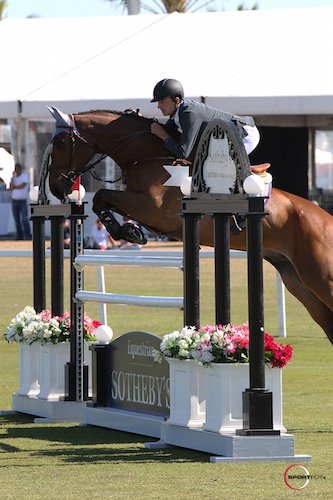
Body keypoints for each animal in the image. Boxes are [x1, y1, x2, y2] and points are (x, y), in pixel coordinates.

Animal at [44, 107, 333, 346]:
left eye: (61, 143)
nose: (56, 188)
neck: (149, 156)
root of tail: (326, 218)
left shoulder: (154, 209)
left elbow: (103, 195)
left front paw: (128, 231)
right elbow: (101, 200)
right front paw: (128, 230)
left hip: (320, 275)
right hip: (297, 281)